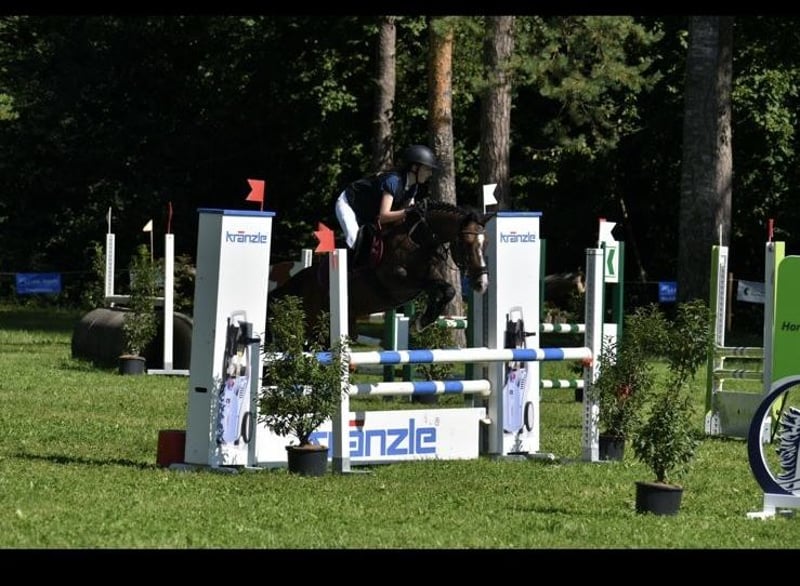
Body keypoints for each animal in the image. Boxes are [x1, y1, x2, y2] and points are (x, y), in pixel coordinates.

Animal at [267, 201, 492, 343]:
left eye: (485, 244)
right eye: (466, 243)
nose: (481, 284)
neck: (419, 240)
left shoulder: (430, 278)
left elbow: (448, 291)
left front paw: (422, 321)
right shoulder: (399, 284)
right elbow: (437, 288)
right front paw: (419, 322)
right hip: (313, 324)